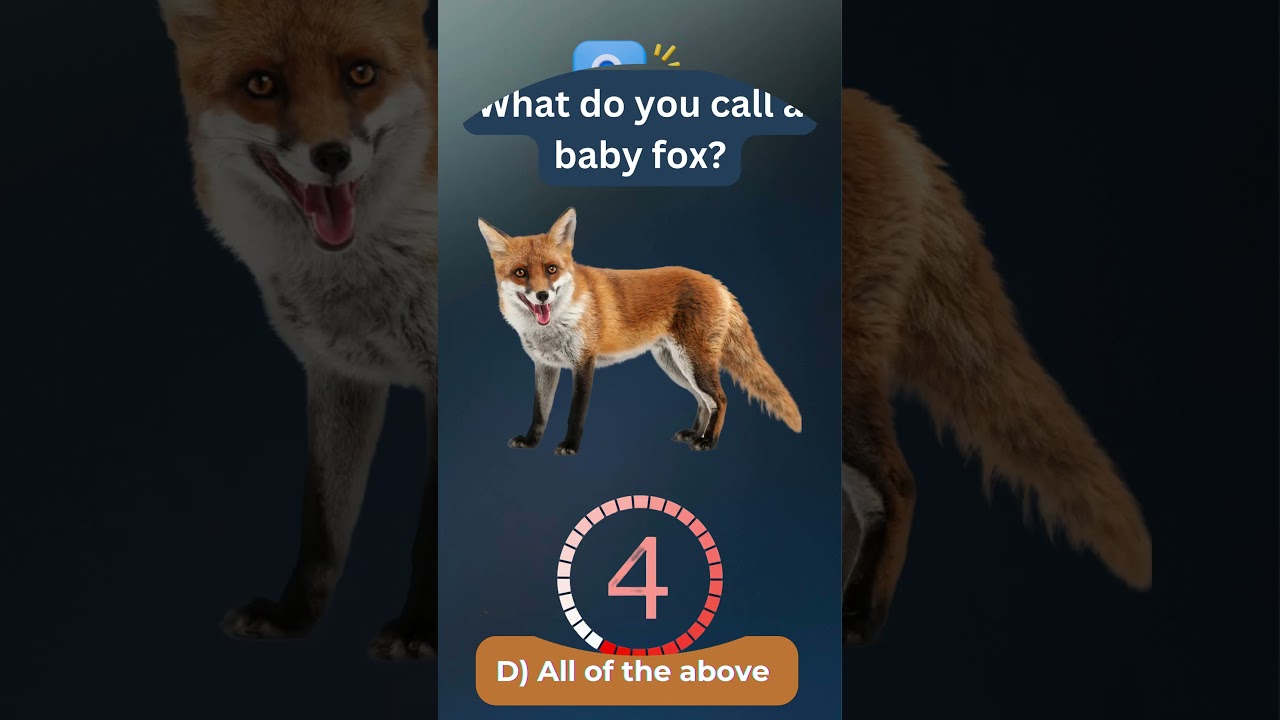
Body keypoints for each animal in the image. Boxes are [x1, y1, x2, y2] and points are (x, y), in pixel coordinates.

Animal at [158, 0, 439, 660]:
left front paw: (420, 628)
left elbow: (429, 538)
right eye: (263, 84)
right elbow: (322, 524)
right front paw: (294, 619)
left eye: (360, 73)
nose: (331, 156)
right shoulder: (338, 372)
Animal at [476, 208, 802, 455]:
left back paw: (708, 441)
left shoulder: (584, 363)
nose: (542, 295)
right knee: (704, 401)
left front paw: (570, 446)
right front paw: (531, 442)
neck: (555, 325)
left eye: (551, 269)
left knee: (720, 399)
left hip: (693, 363)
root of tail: (717, 282)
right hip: (675, 365)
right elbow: (539, 412)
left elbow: (574, 415)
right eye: (521, 273)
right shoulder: (545, 365)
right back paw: (695, 434)